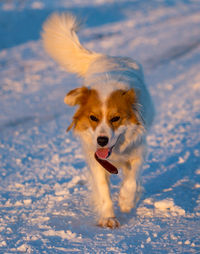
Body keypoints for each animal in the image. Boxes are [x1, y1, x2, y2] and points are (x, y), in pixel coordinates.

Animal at [41, 12, 155, 229]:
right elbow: (103, 191)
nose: (102, 140)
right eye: (93, 118)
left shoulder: (138, 149)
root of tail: (105, 56)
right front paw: (109, 217)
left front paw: (126, 201)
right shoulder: (95, 159)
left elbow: (132, 179)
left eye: (116, 118)